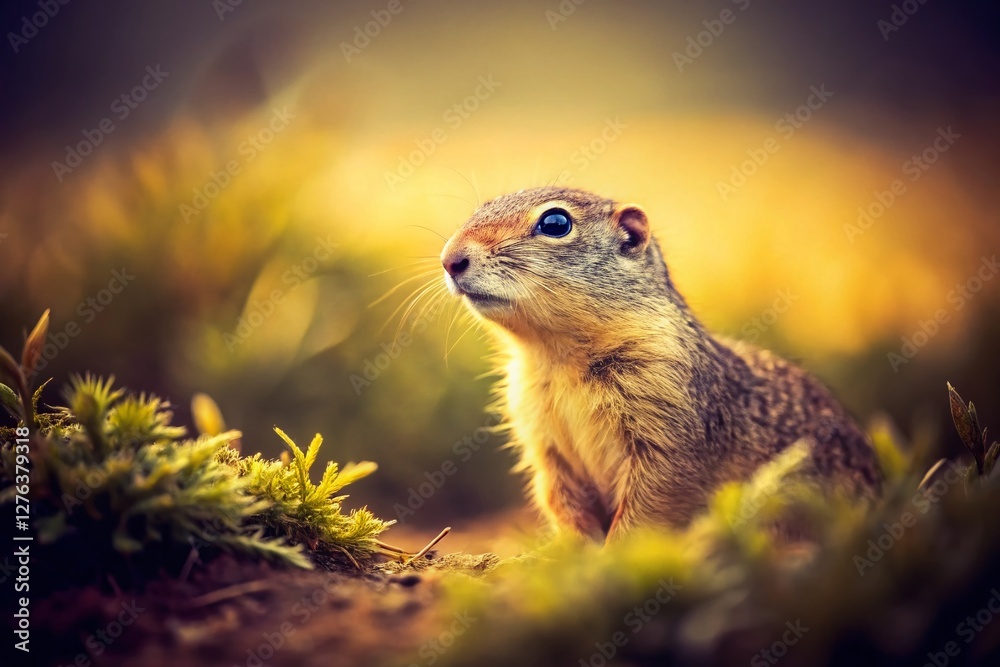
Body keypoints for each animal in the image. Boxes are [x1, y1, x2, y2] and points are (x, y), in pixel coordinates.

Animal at [439, 187, 882, 541]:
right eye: (483, 207)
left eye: (555, 222)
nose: (450, 259)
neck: (558, 356)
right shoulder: (546, 446)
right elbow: (561, 501)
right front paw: (576, 554)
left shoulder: (667, 433)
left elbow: (649, 507)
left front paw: (613, 557)